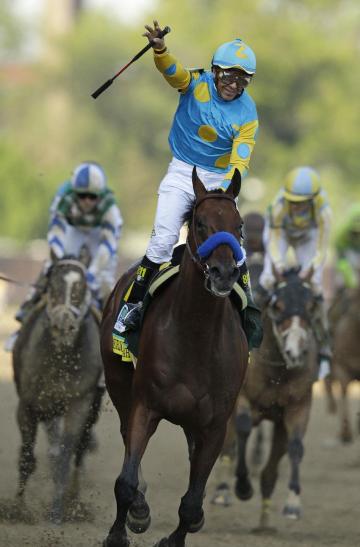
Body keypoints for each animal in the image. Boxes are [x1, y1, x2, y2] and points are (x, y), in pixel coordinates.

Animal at [12, 255, 102, 524]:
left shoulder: (80, 403)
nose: (64, 325)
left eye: (82, 287)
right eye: (52, 285)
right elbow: (27, 459)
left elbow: (66, 454)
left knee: (79, 451)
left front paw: (57, 511)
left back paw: (74, 503)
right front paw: (17, 509)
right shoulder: (28, 405)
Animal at [100, 168, 249, 547]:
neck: (196, 335)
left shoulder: (215, 425)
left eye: (239, 225)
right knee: (126, 438)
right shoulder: (145, 406)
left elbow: (193, 501)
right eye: (200, 223)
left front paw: (177, 536)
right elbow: (125, 481)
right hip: (118, 384)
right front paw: (120, 530)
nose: (224, 273)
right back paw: (139, 508)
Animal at [235, 270, 316, 532]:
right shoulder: (241, 397)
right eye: (278, 305)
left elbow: (296, 446)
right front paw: (242, 486)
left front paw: (293, 505)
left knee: (269, 471)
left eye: (310, 306)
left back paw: (264, 522)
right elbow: (242, 428)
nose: (295, 352)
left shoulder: (298, 405)